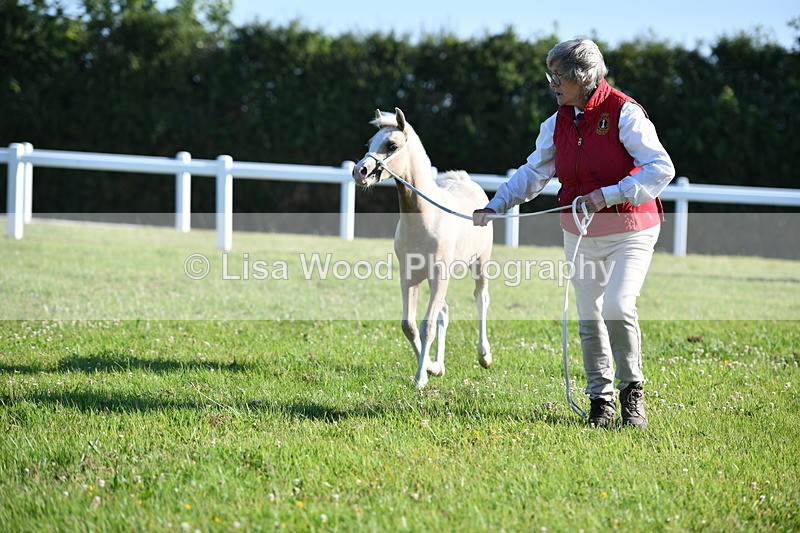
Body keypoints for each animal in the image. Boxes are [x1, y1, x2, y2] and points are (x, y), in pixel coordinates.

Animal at [352, 107, 494, 389]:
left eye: (392, 145)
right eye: (369, 143)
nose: (359, 172)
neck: (425, 219)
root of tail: (467, 181)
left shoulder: (439, 275)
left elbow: (427, 325)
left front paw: (420, 378)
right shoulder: (409, 277)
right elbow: (409, 325)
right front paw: (429, 367)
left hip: (480, 263)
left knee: (481, 299)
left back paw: (484, 356)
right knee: (444, 312)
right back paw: (439, 364)